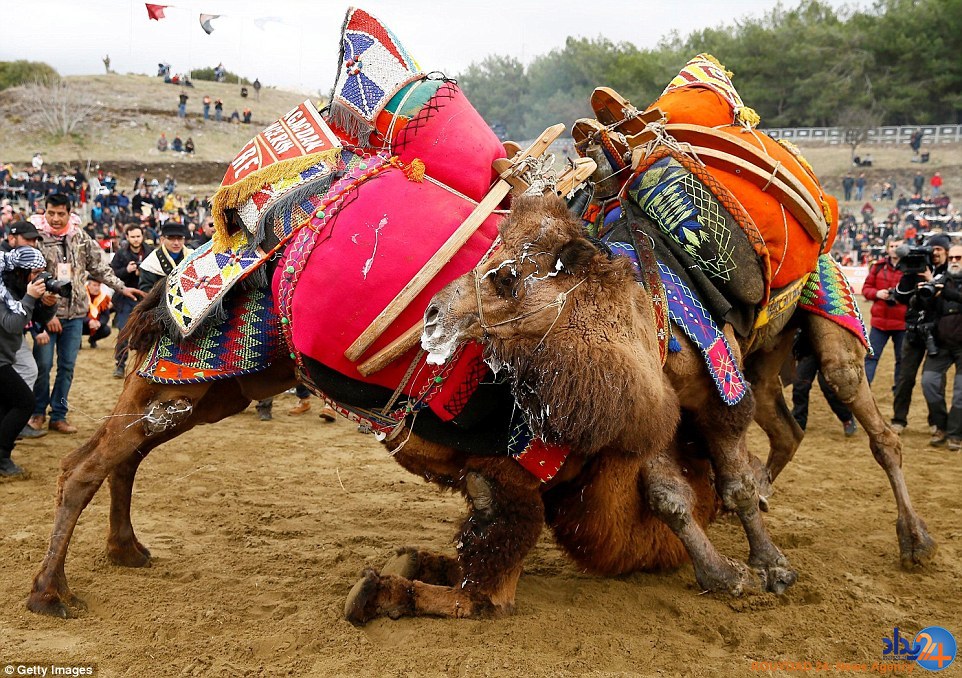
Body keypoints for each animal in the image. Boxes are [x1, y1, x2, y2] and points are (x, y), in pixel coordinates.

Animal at [424, 194, 932, 588]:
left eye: (506, 277)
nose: (432, 314)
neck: (649, 315)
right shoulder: (653, 408)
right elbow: (667, 496)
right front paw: (722, 574)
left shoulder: (719, 394)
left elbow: (736, 483)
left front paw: (772, 566)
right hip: (763, 358)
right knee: (787, 429)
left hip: (825, 314)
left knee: (864, 410)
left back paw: (916, 541)